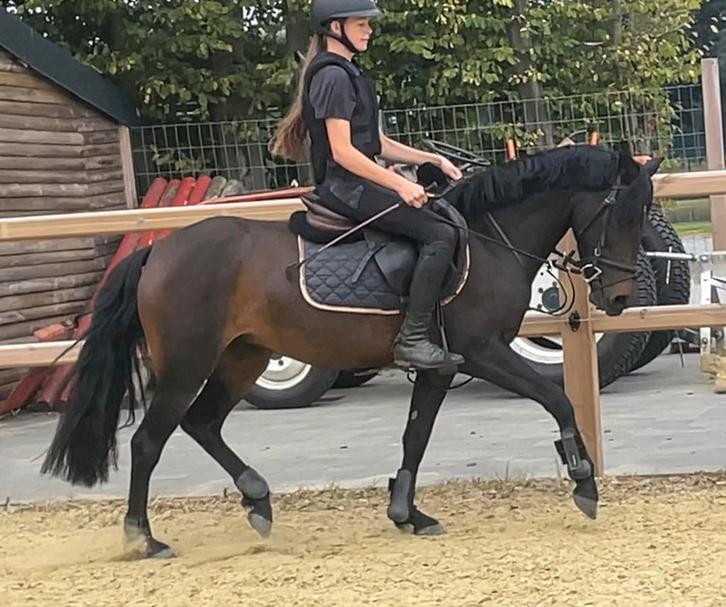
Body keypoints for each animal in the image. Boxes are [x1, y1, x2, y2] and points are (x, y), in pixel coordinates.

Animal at [41, 145, 661, 558]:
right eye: (622, 213)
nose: (620, 298)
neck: (489, 240)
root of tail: (160, 251)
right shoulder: (484, 352)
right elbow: (557, 399)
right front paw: (583, 482)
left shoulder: (439, 366)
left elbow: (416, 435)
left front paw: (408, 514)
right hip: (188, 363)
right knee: (150, 440)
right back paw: (144, 538)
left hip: (243, 357)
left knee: (203, 424)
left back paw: (257, 500)